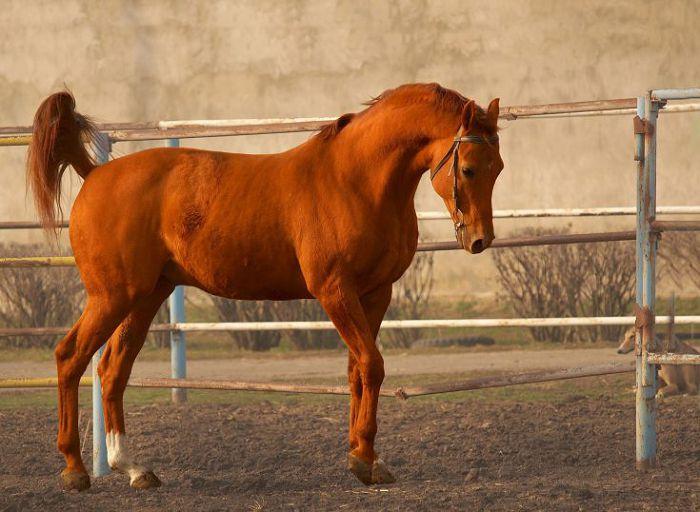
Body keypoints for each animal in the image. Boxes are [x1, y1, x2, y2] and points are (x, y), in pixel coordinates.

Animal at [27, 84, 504, 492]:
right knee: (71, 357)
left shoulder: (375, 294)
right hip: (112, 297)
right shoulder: (335, 292)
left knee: (112, 370)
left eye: (497, 168)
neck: (355, 181)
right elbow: (372, 365)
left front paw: (364, 455)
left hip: (145, 298)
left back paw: (133, 468)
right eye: (467, 168)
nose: (480, 240)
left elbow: (357, 371)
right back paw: (74, 469)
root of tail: (96, 175)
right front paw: (364, 461)